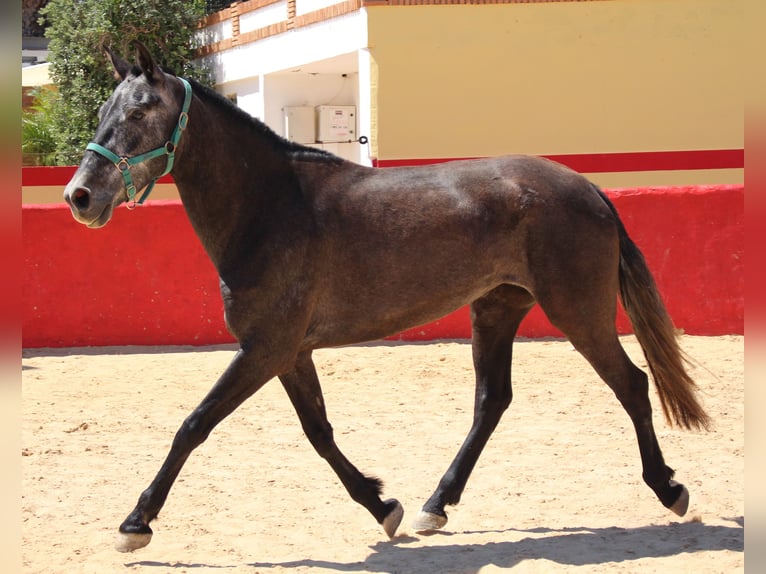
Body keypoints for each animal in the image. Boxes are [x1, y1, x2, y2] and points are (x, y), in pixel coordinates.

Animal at [63, 42, 712, 556]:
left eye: (140, 111)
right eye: (103, 112)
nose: (80, 196)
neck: (272, 206)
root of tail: (589, 188)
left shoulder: (264, 348)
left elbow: (194, 425)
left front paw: (136, 522)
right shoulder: (289, 352)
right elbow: (319, 433)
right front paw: (384, 506)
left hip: (578, 312)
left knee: (631, 384)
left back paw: (669, 488)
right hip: (496, 309)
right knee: (492, 401)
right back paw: (435, 504)